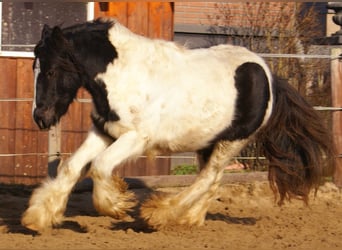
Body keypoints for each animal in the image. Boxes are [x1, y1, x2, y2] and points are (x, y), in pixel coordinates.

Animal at [21, 18, 334, 231]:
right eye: (34, 68)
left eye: (51, 70)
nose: (41, 117)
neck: (122, 74)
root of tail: (269, 76)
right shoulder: (103, 131)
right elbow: (71, 167)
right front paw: (38, 216)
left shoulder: (136, 139)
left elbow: (99, 167)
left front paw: (117, 206)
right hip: (210, 143)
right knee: (211, 181)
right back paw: (190, 219)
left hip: (233, 141)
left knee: (206, 179)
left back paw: (158, 214)